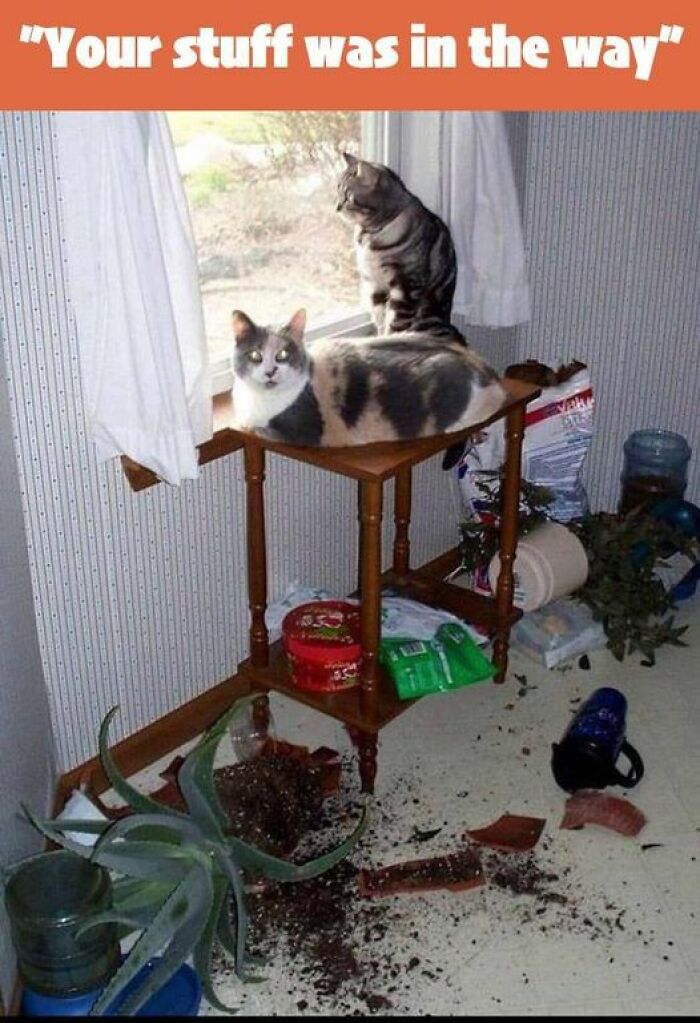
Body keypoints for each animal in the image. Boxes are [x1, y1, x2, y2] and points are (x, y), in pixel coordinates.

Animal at [229, 304, 503, 446]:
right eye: (255, 355)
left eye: (283, 355)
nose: (270, 371)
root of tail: (481, 365)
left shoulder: (304, 432)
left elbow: (256, 429)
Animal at [335, 151, 462, 341]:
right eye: (337, 190)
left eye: (348, 197)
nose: (336, 207)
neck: (371, 233)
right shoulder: (375, 285)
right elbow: (380, 320)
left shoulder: (405, 287)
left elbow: (395, 325)